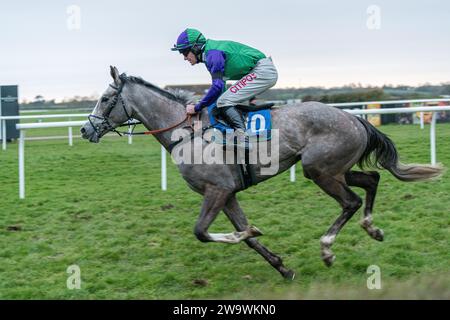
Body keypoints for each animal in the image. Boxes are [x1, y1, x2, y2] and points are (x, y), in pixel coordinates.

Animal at [81, 66, 442, 278]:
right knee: (372, 180)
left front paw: (250, 234)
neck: (188, 131)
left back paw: (327, 249)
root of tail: (354, 117)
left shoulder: (217, 190)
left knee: (350, 202)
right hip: (334, 168)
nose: (86, 130)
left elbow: (204, 232)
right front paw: (282, 267)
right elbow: (246, 237)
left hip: (319, 170)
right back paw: (373, 229)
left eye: (106, 98)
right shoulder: (227, 194)